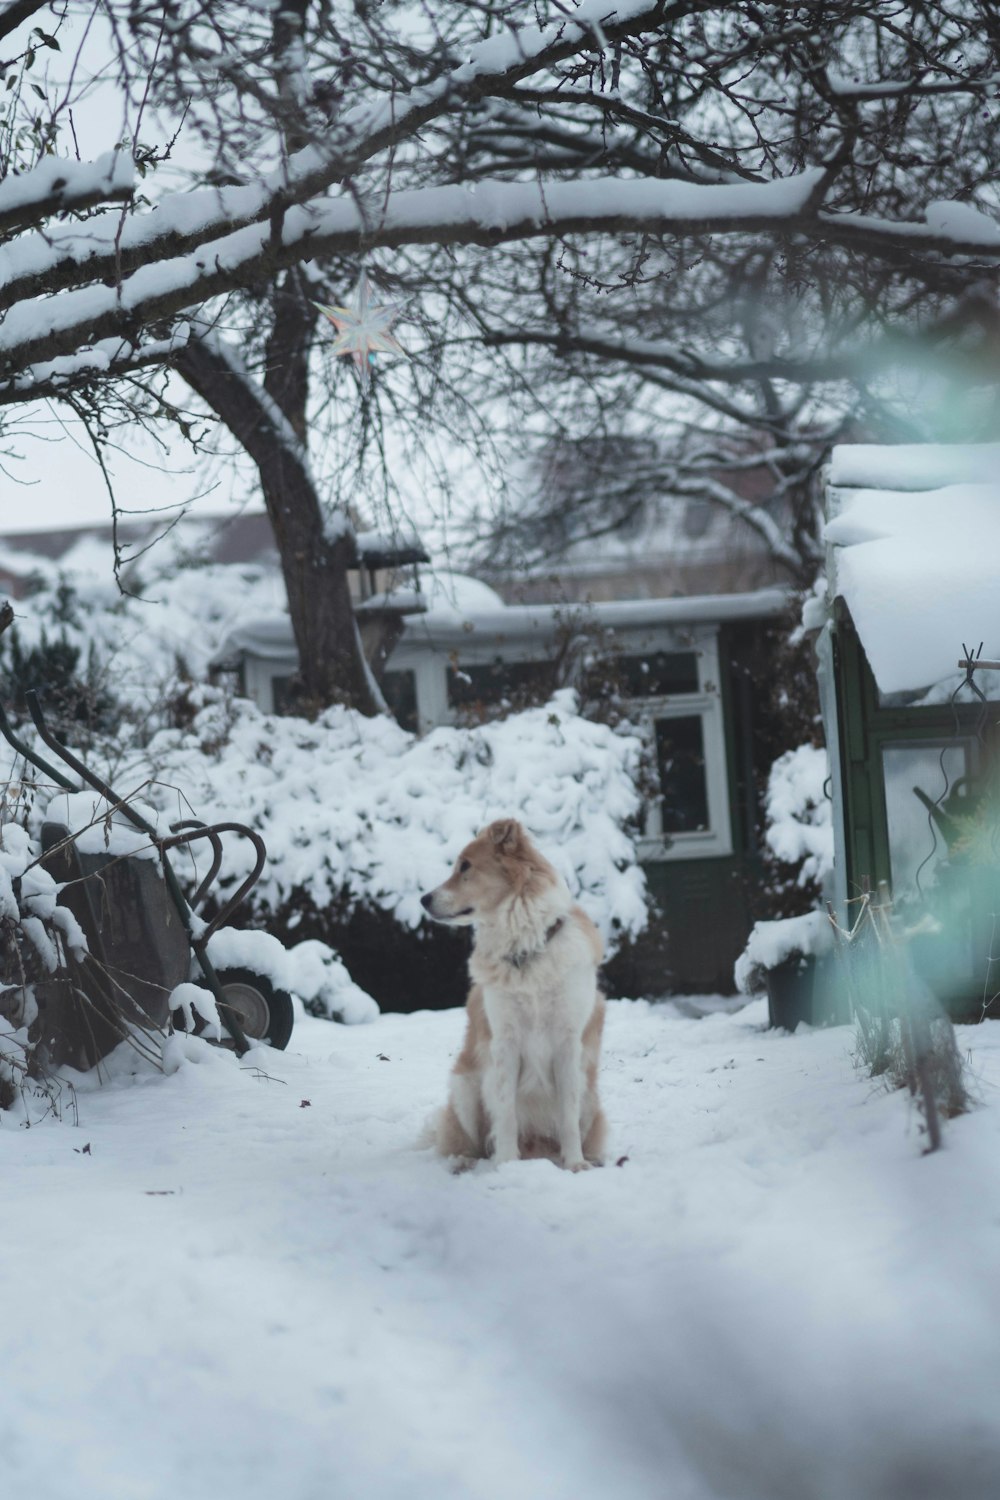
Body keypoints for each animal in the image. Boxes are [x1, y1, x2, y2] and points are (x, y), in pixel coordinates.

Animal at [419, 822, 605, 1170]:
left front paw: (575, 1163)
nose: (423, 899)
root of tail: (536, 1147)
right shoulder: (503, 1043)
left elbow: (568, 1115)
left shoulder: (568, 1044)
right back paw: (466, 1163)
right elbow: (505, 1114)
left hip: (590, 1093)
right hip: (465, 1087)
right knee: (472, 1143)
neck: (527, 949)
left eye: (465, 866)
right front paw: (506, 1165)